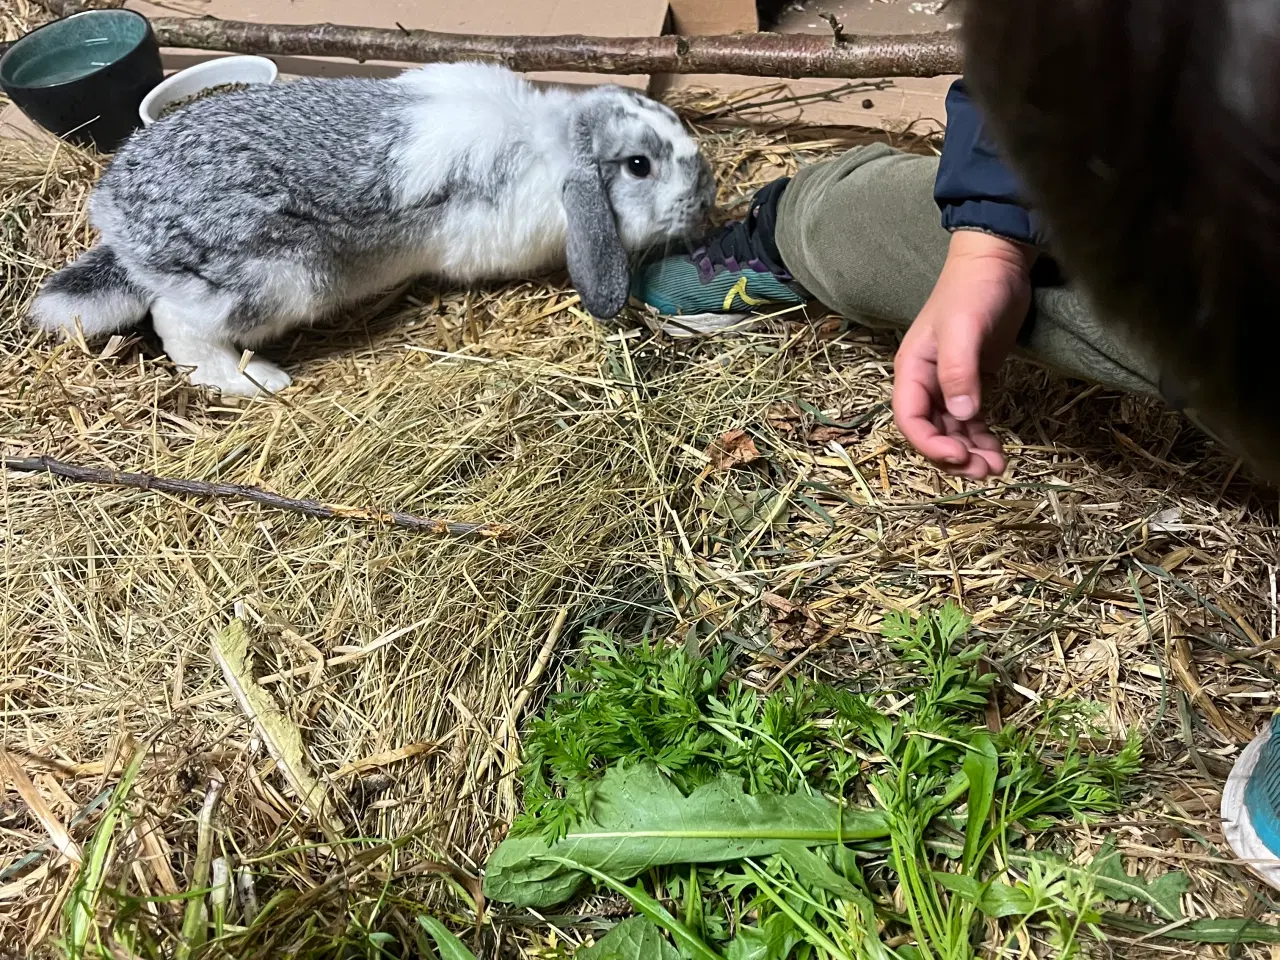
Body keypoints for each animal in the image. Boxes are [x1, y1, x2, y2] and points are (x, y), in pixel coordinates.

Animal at [30, 63, 716, 394]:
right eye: (639, 165)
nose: (707, 199)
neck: (552, 145)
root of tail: (118, 222)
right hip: (276, 280)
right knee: (178, 328)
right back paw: (260, 383)